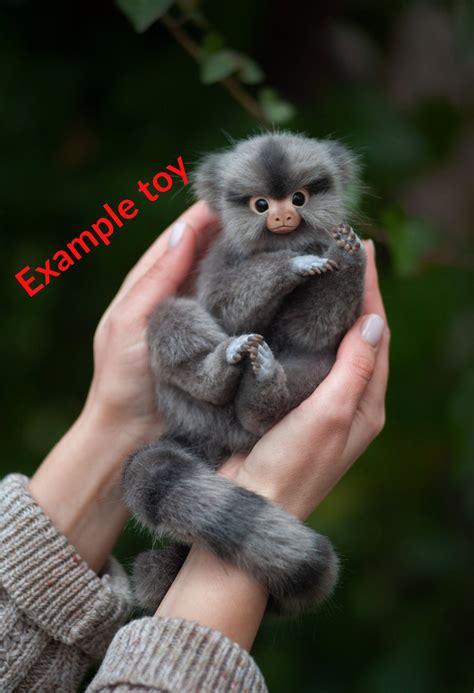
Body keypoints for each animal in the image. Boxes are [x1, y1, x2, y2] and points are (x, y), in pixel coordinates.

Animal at [122, 132, 367, 616]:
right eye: (260, 204)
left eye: (299, 197)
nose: (283, 216)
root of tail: (217, 434)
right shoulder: (222, 257)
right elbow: (223, 305)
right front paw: (294, 266)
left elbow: (315, 328)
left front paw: (345, 258)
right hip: (187, 404)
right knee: (169, 319)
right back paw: (216, 371)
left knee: (310, 367)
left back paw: (262, 401)